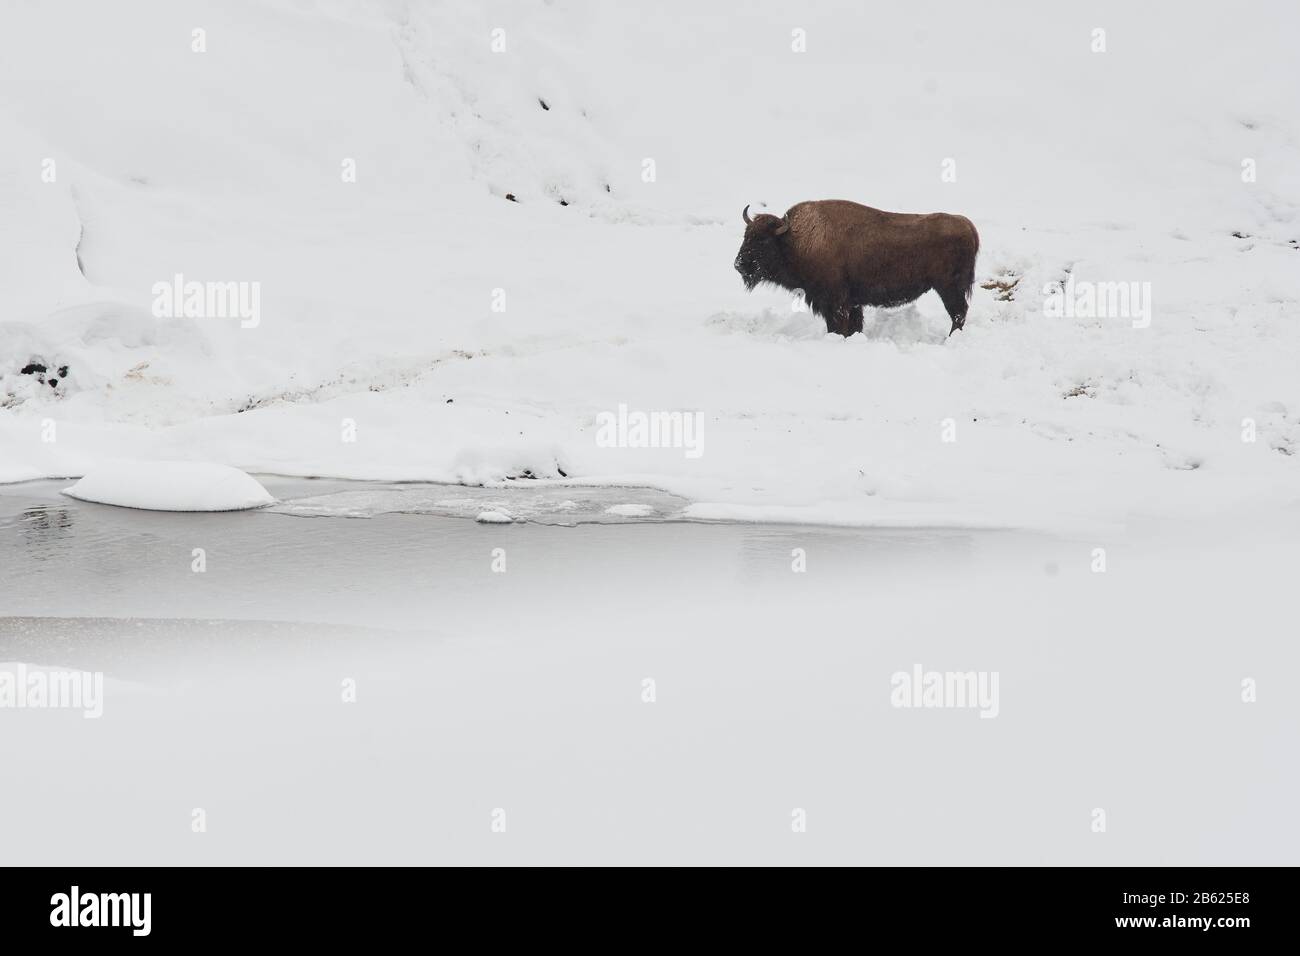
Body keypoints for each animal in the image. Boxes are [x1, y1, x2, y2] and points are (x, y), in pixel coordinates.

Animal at [733, 200, 979, 336]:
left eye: (763, 241)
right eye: (746, 236)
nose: (739, 265)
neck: (794, 240)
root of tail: (968, 226)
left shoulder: (835, 302)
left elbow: (838, 326)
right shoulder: (851, 303)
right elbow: (853, 325)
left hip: (948, 287)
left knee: (959, 313)